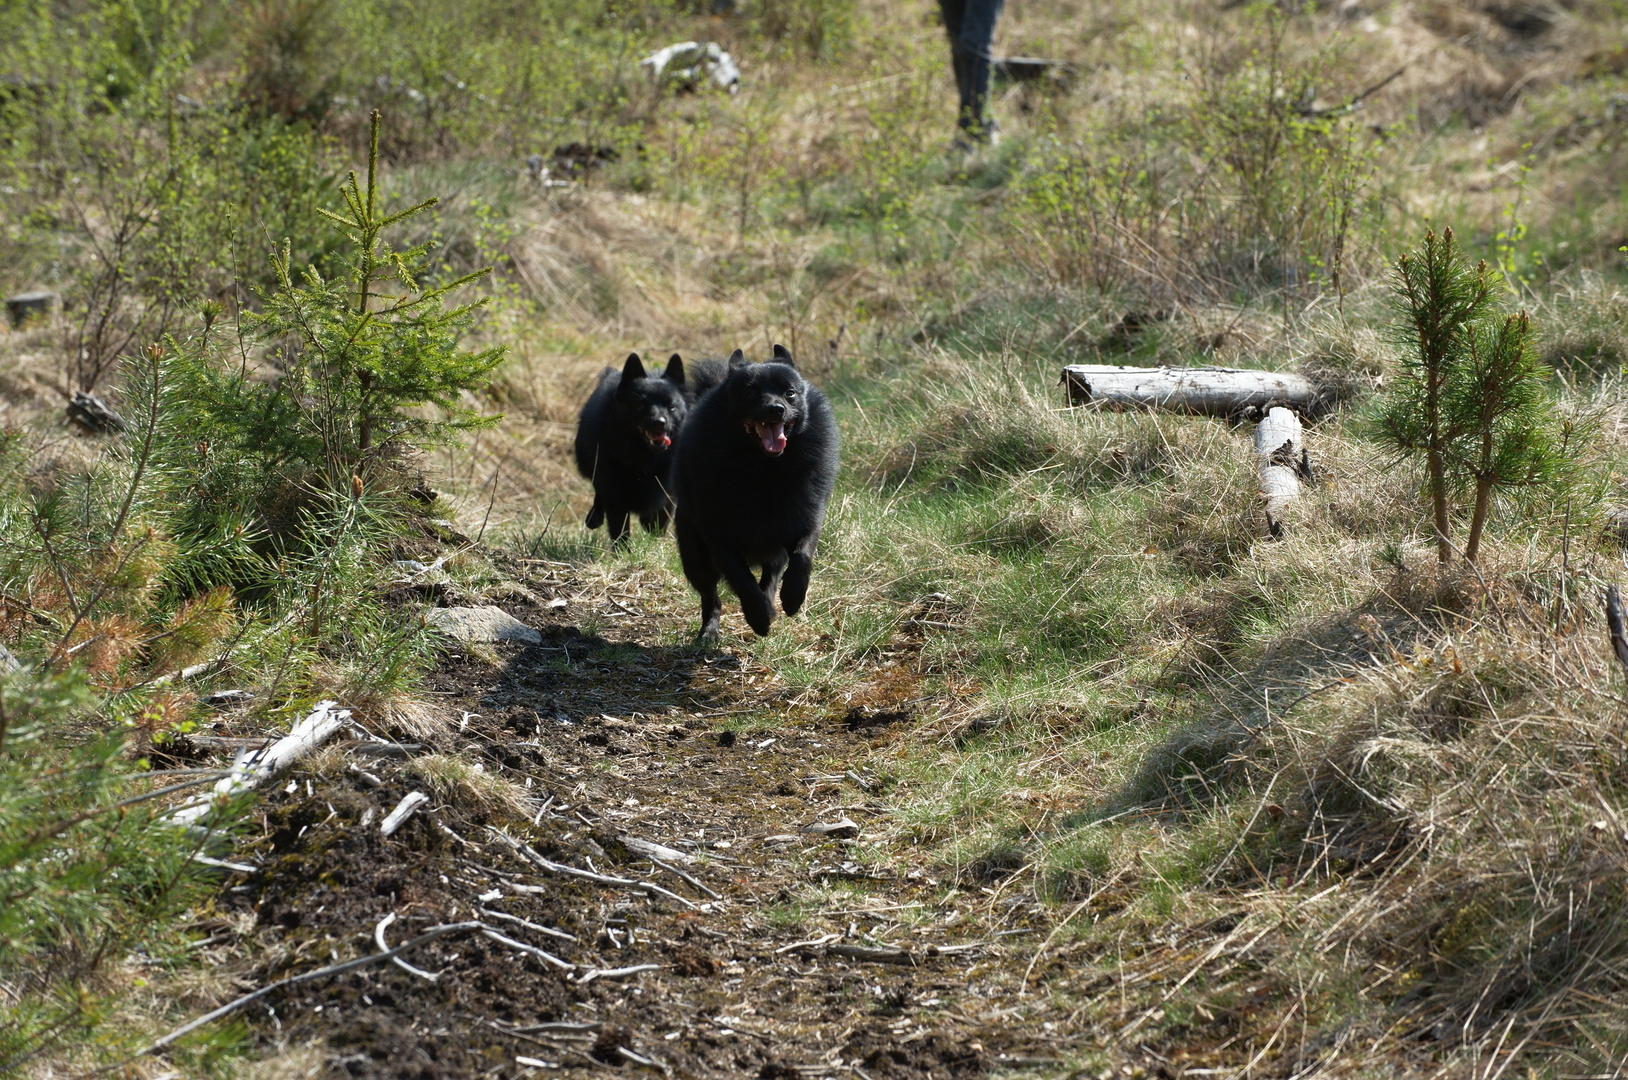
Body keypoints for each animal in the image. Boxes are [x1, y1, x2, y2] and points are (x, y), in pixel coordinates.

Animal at [576, 353, 696, 544]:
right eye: (640, 405)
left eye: (671, 406)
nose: (659, 422)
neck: (645, 458)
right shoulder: (615, 493)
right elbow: (620, 531)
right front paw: (622, 550)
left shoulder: (668, 492)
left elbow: (659, 519)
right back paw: (594, 518)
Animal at [670, 343, 840, 641]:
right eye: (750, 393)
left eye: (790, 393)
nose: (776, 409)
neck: (765, 469)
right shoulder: (719, 537)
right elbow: (742, 580)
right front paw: (758, 617)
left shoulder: (803, 520)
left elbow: (802, 557)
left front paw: (793, 596)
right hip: (694, 556)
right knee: (710, 596)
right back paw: (710, 630)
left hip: (773, 548)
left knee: (771, 575)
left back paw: (772, 602)